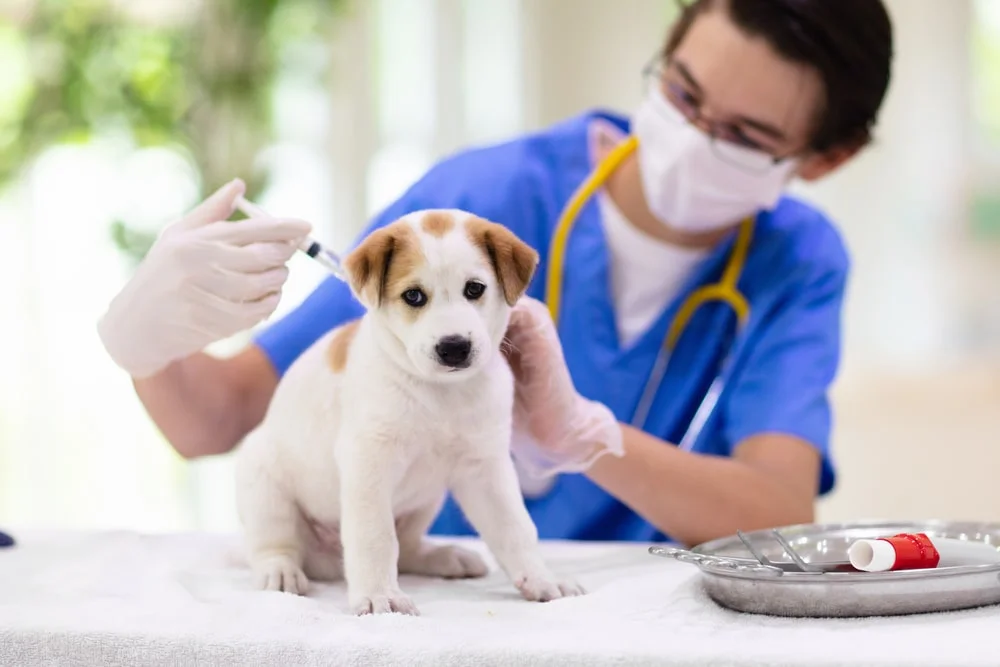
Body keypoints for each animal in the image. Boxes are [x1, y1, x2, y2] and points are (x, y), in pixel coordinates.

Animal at [232, 210, 584, 616]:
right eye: (413, 296)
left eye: (474, 289)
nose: (454, 348)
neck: (441, 393)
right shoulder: (369, 462)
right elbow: (376, 537)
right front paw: (379, 595)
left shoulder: (486, 468)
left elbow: (516, 529)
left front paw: (542, 578)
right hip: (264, 487)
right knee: (275, 544)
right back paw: (280, 572)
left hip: (424, 503)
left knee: (410, 548)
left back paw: (445, 557)